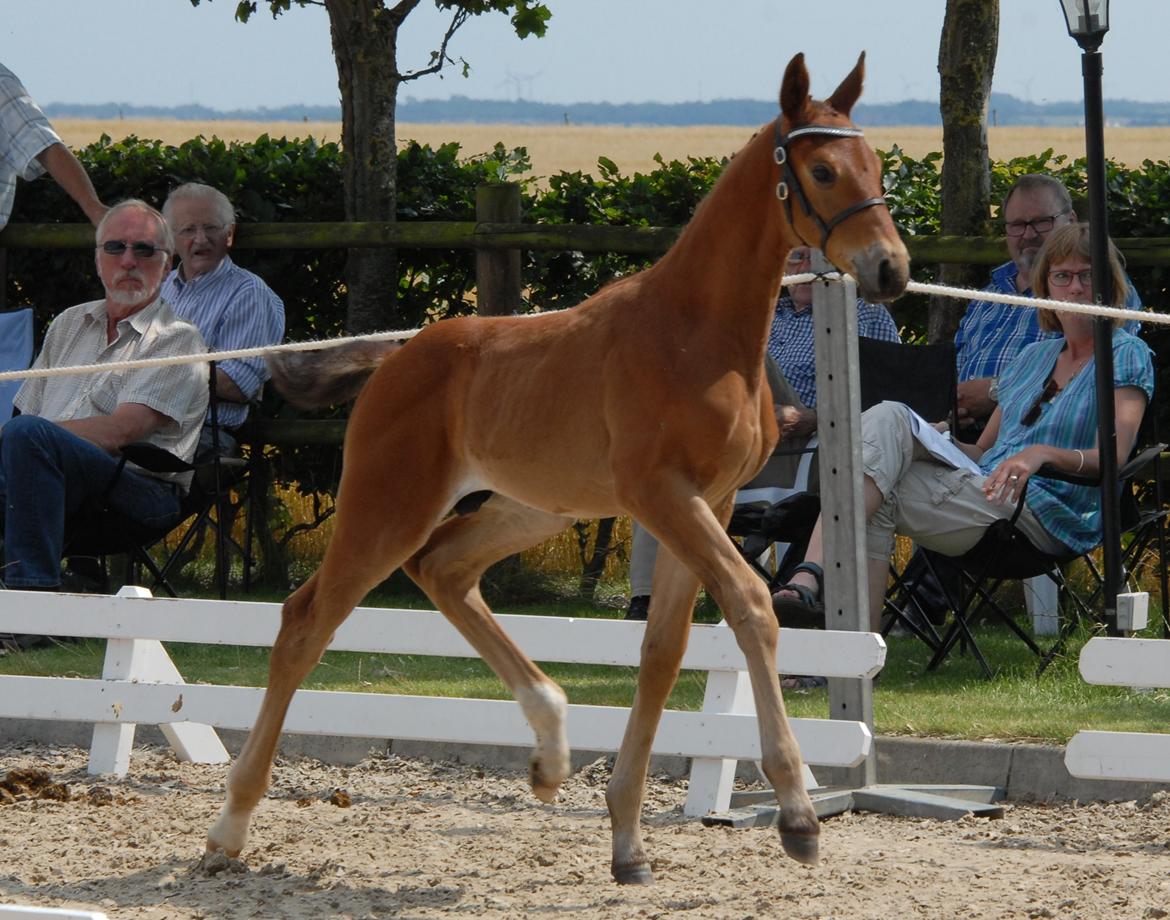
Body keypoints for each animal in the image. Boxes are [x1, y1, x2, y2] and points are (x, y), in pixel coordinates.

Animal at [208, 52, 903, 880]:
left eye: (877, 165)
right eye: (823, 170)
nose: (891, 269)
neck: (695, 332)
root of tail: (395, 358)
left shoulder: (714, 500)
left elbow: (663, 649)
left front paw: (628, 839)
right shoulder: (662, 493)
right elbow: (750, 605)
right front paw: (797, 814)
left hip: (527, 508)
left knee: (443, 570)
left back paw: (549, 749)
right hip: (389, 504)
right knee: (306, 620)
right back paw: (229, 827)